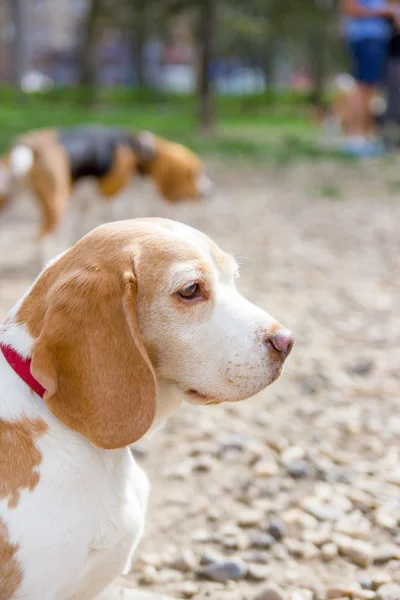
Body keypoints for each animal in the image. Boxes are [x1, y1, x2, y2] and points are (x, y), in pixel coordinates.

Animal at [0, 126, 214, 264]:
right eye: (195, 173)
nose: (208, 192)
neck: (137, 147)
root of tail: (28, 145)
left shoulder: (84, 200)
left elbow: (79, 225)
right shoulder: (112, 196)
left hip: (7, 198)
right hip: (56, 202)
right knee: (42, 237)